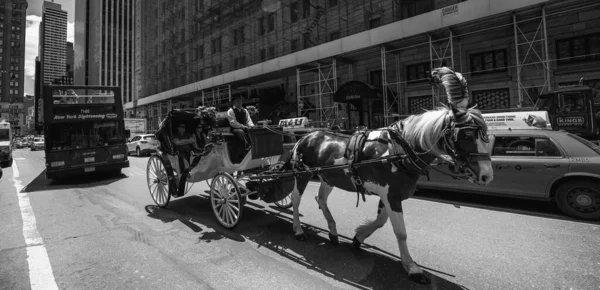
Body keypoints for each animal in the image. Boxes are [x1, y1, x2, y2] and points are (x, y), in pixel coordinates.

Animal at [282, 67, 492, 284]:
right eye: (466, 135)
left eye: (486, 135)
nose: (487, 176)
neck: (399, 150)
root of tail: (305, 137)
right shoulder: (391, 196)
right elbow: (401, 232)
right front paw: (412, 267)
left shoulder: (388, 194)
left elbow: (381, 221)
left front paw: (359, 237)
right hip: (302, 174)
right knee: (296, 199)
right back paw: (298, 230)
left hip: (328, 178)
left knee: (321, 199)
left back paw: (332, 230)